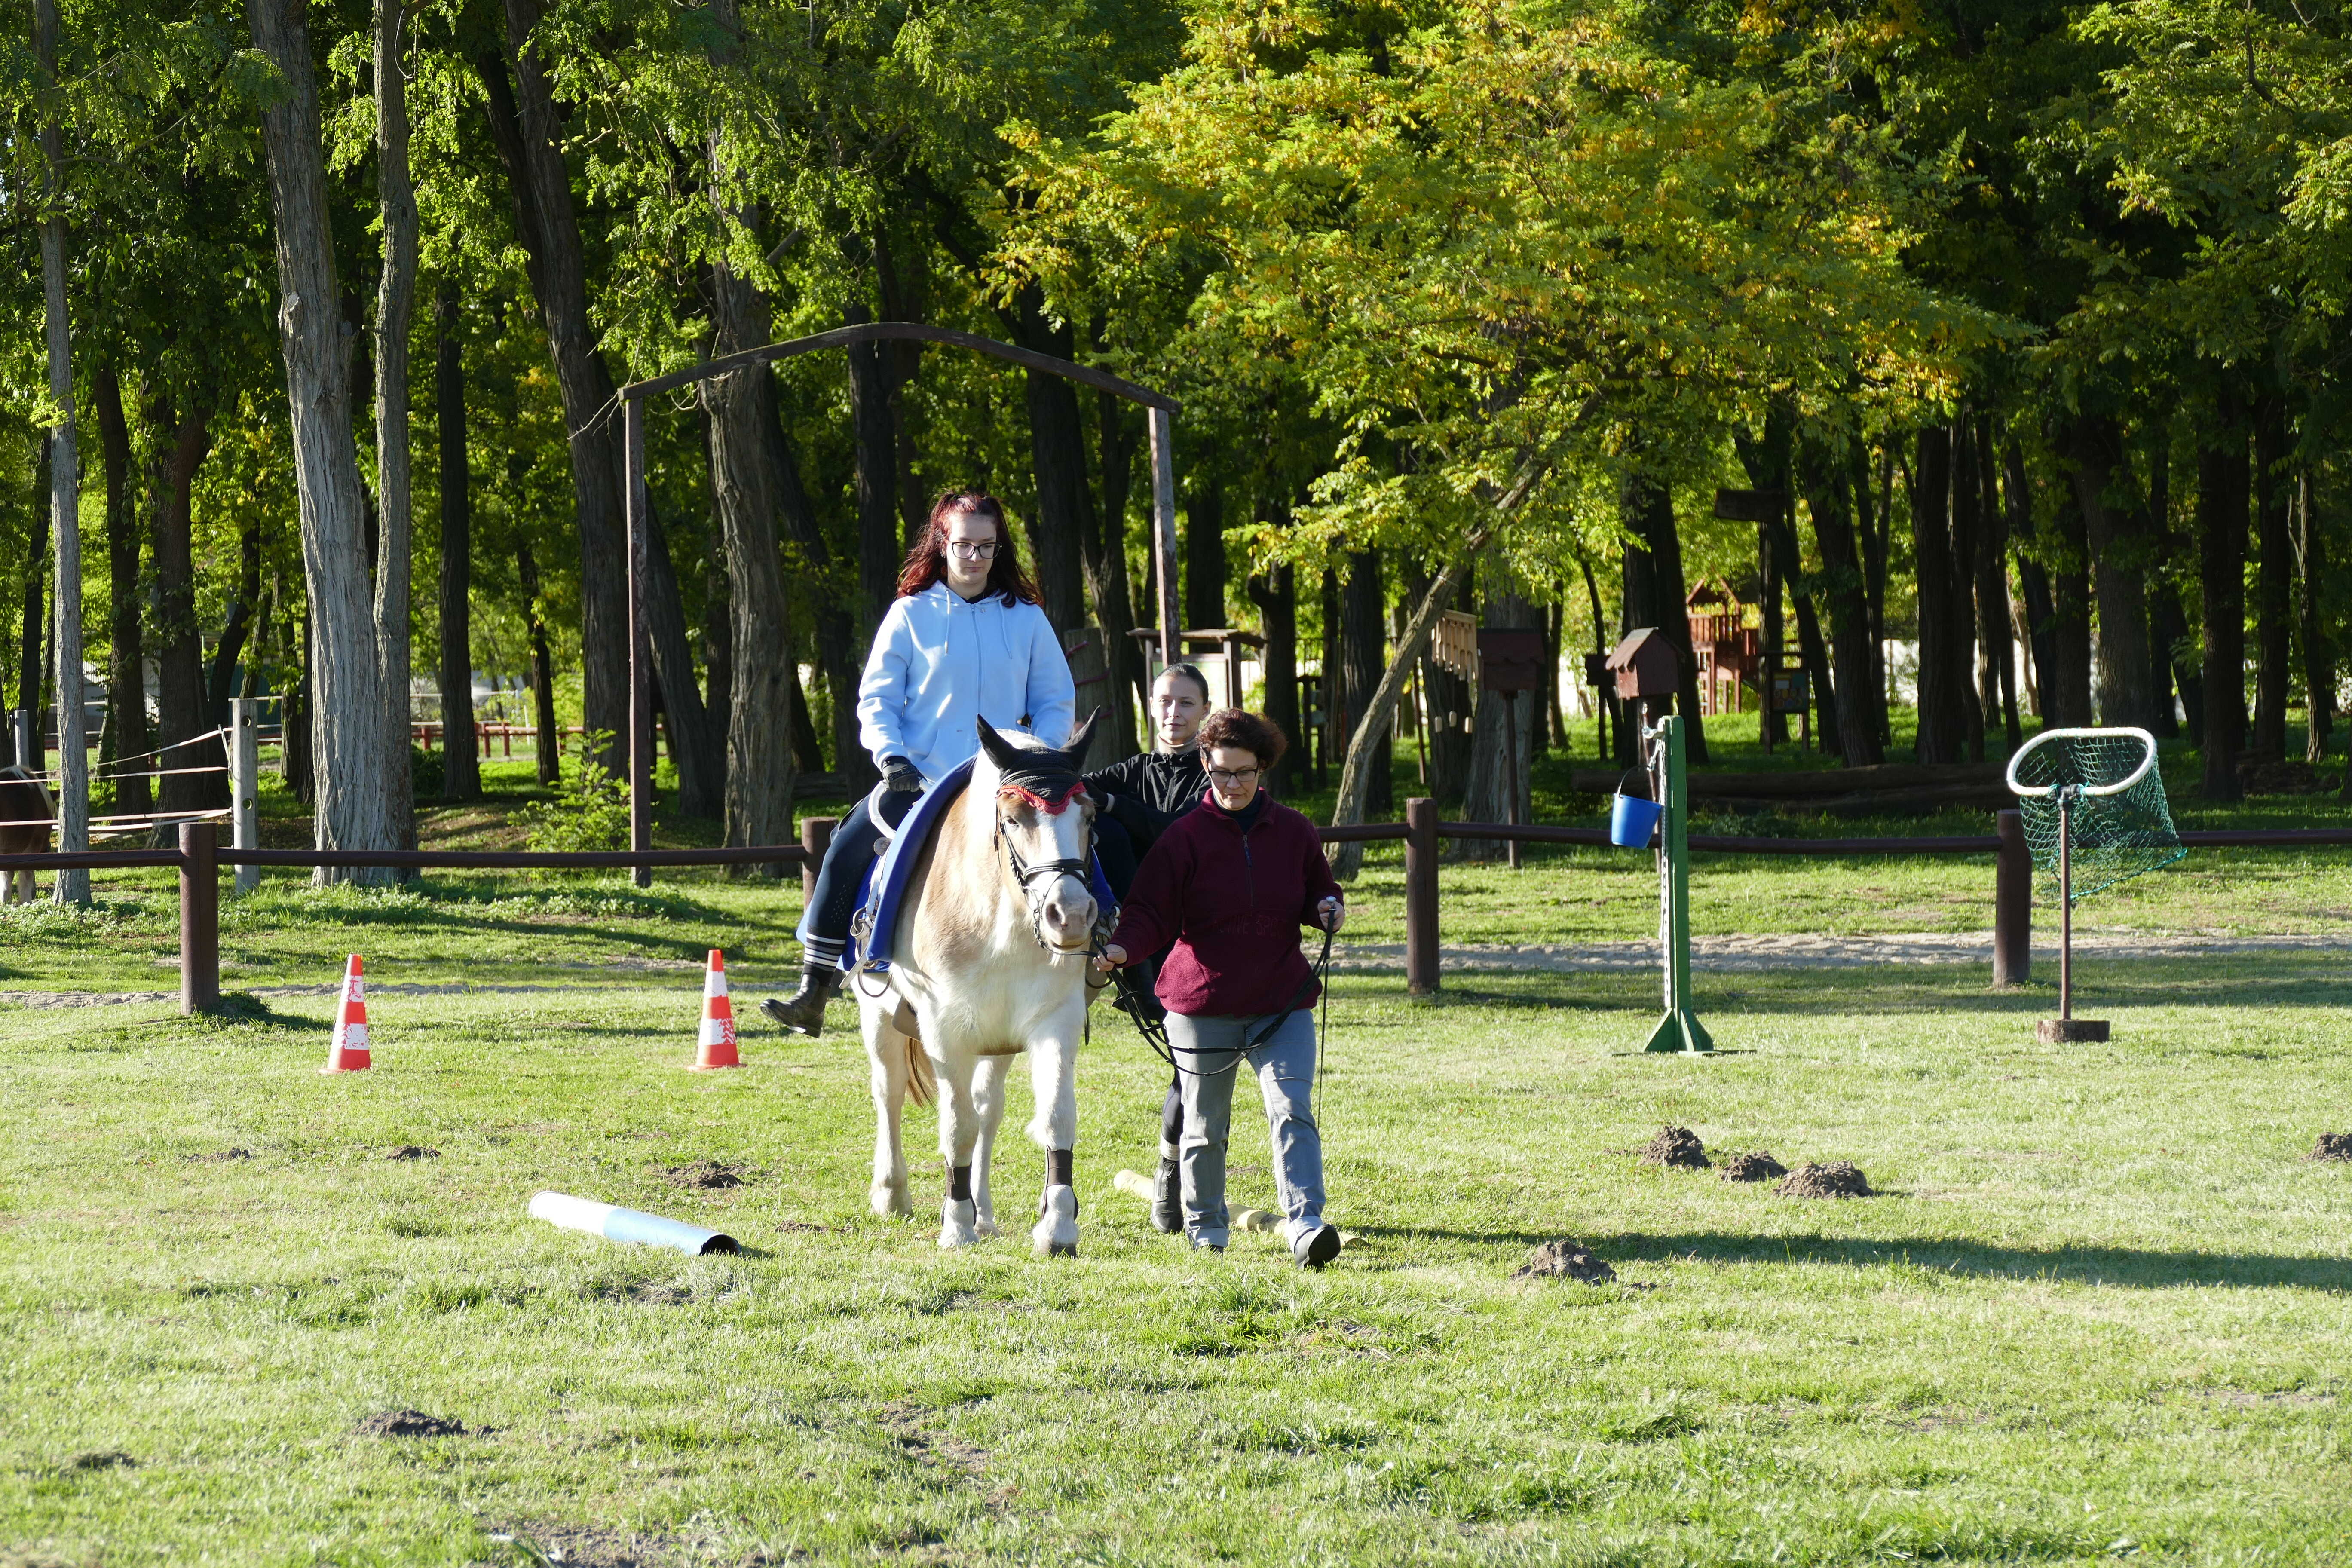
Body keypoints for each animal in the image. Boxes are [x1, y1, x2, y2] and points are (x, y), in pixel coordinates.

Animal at [860, 712, 1105, 1256]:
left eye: (1089, 817)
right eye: (1013, 820)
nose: (1071, 917)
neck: (998, 918)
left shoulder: (1053, 1022)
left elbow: (1056, 1117)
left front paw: (1058, 1228)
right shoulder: (944, 1032)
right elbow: (957, 1129)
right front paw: (956, 1226)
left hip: (996, 1041)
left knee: (988, 1110)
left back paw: (985, 1215)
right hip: (879, 1019)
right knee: (889, 1093)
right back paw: (892, 1194)